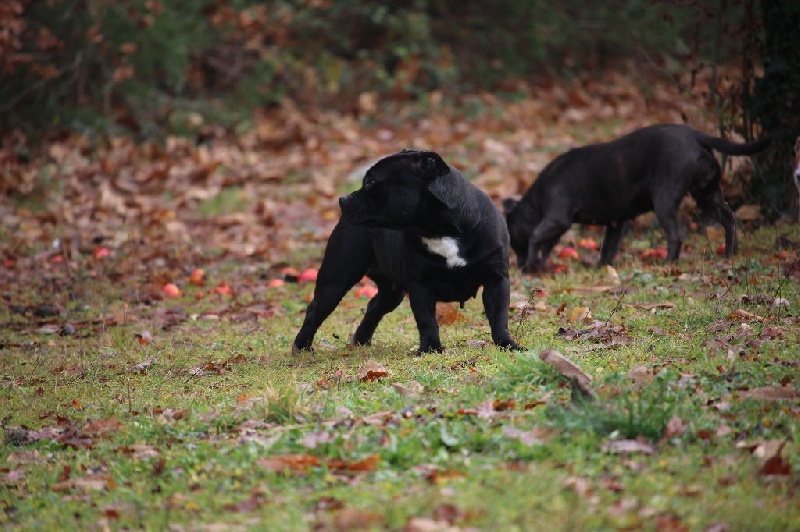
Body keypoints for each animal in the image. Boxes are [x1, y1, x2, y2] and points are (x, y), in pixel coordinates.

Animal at [290, 149, 520, 354]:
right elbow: (426, 320)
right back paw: (302, 347)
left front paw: (507, 344)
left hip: (391, 291)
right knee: (316, 309)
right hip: (336, 278)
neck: (440, 231)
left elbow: (499, 316)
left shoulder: (496, 279)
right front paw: (430, 349)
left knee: (375, 305)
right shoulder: (420, 284)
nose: (343, 199)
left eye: (371, 183)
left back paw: (361, 340)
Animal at [504, 124, 772, 270]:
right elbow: (607, 249)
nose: (518, 266)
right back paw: (730, 252)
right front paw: (601, 269)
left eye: (511, 238)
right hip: (707, 194)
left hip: (665, 200)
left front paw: (532, 263)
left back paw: (668, 263)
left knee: (676, 234)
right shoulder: (615, 223)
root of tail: (696, 135)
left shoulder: (557, 219)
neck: (534, 203)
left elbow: (536, 237)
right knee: (728, 218)